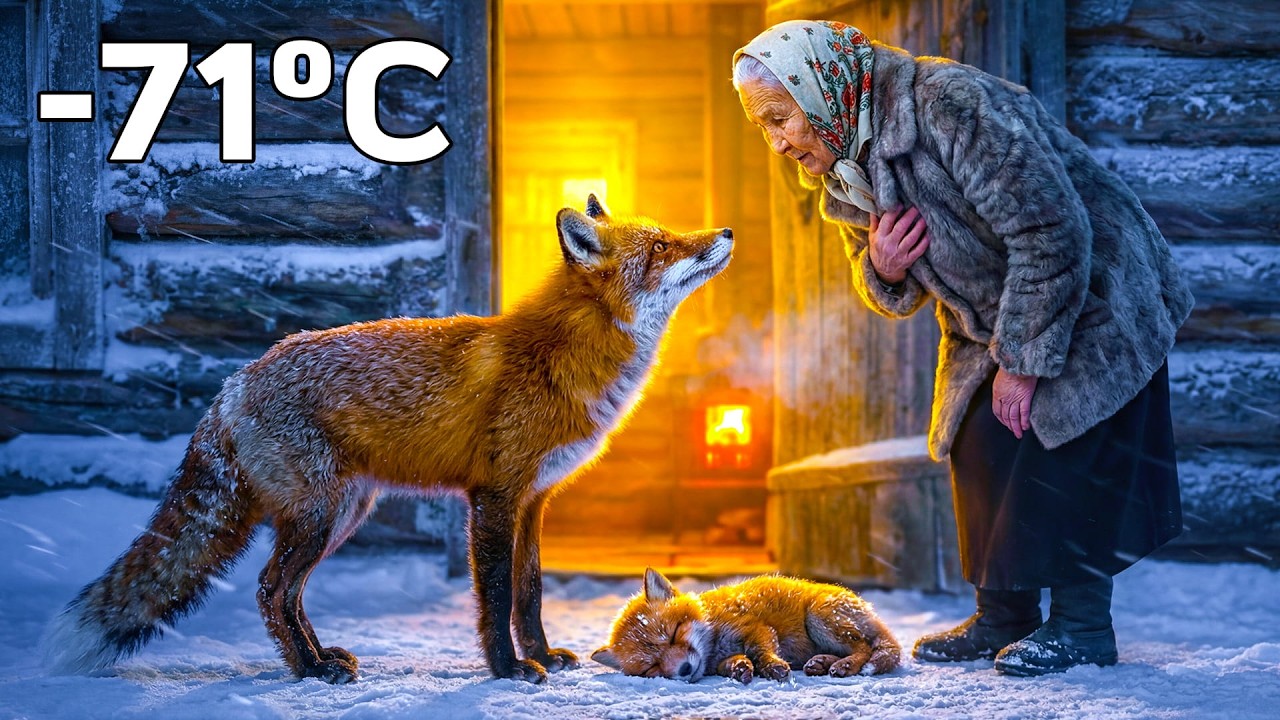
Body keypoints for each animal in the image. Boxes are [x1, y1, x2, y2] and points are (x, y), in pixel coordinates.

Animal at [42, 195, 733, 685]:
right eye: (664, 244)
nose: (726, 234)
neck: (562, 356)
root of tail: (235, 382)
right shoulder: (493, 496)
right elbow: (497, 595)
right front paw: (508, 670)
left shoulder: (534, 500)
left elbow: (530, 594)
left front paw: (543, 656)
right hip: (320, 514)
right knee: (269, 587)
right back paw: (310, 671)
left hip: (344, 512)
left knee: (286, 591)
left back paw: (319, 659)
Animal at [592, 568, 901, 683]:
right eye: (651, 668)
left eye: (674, 634)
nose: (685, 670)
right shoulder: (720, 658)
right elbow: (735, 662)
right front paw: (740, 668)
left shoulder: (755, 627)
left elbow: (759, 649)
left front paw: (771, 666)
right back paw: (822, 663)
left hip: (819, 618)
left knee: (866, 649)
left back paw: (845, 665)